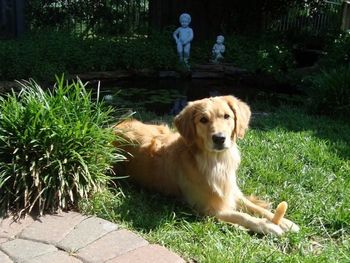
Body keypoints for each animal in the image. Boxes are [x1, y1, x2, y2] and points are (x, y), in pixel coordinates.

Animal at [113, 96, 300, 236]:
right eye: (203, 120)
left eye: (227, 116)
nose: (219, 138)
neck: (217, 162)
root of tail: (114, 126)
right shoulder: (209, 209)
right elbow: (243, 216)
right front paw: (268, 226)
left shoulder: (232, 192)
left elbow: (256, 208)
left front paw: (285, 222)